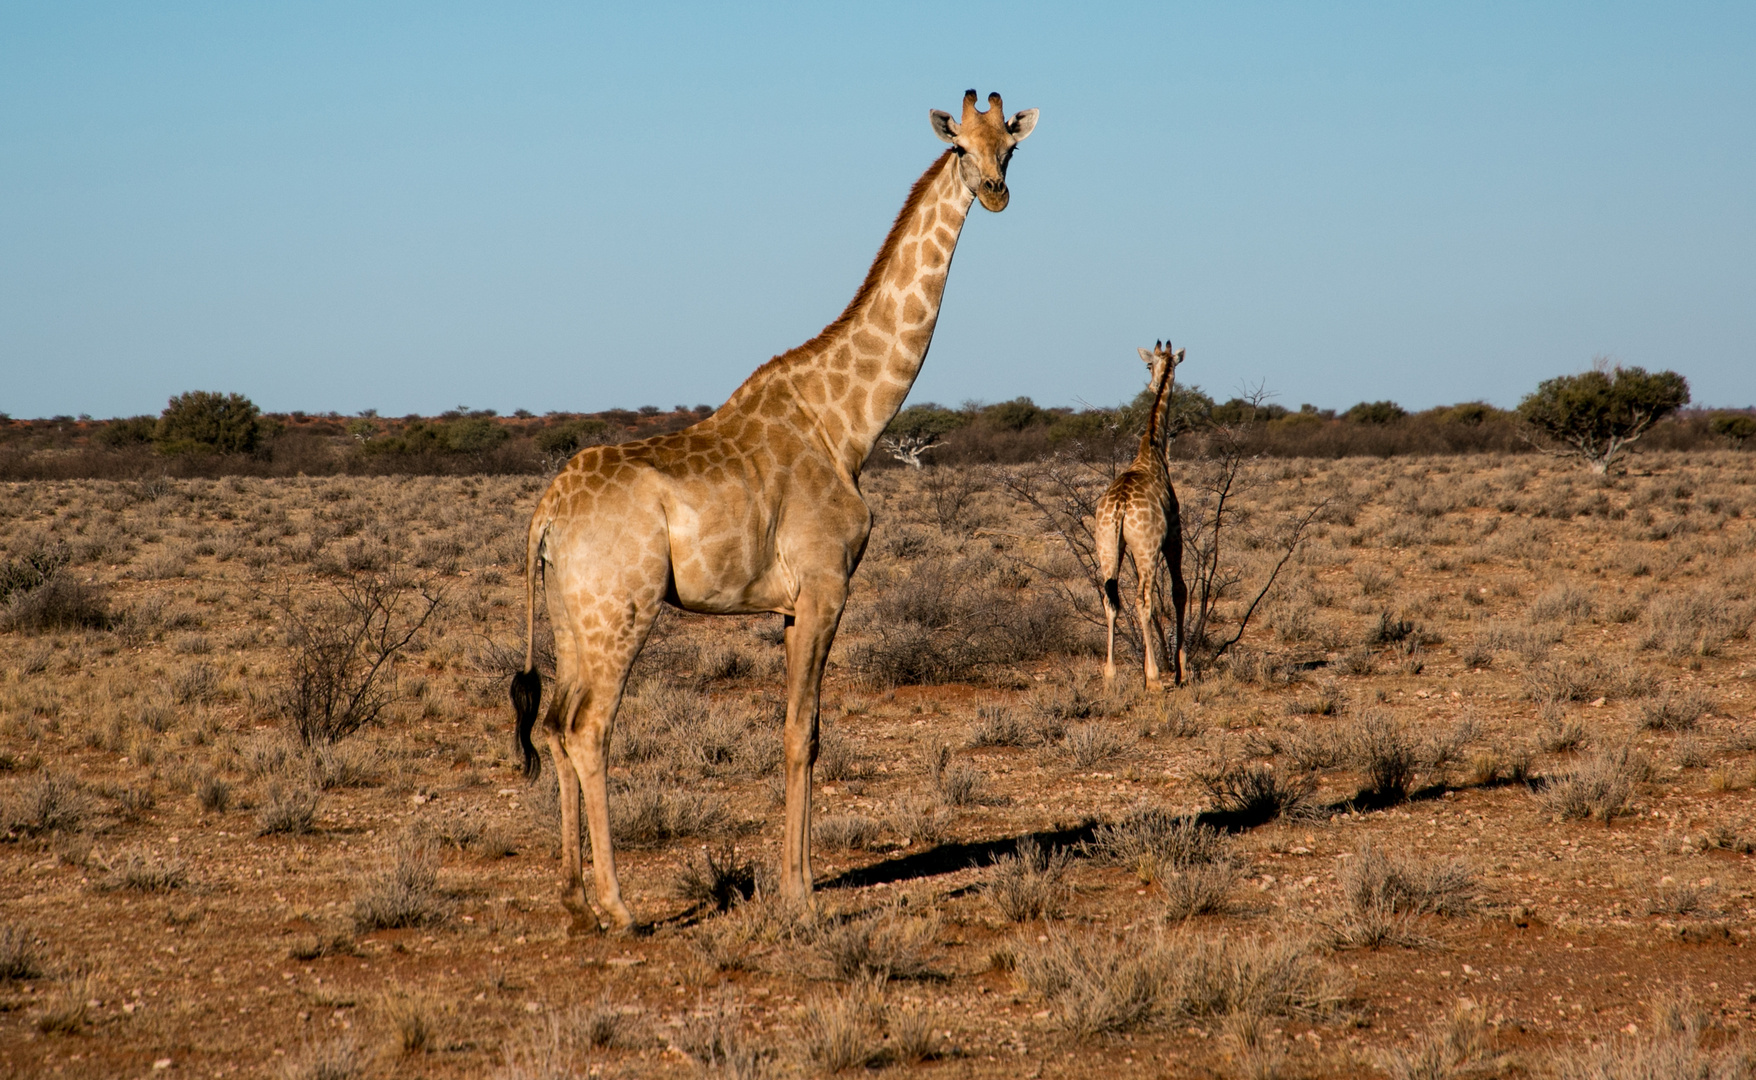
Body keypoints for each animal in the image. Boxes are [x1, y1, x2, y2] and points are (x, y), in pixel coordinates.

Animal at [509, 90, 1032, 927]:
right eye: (960, 147)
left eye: (1009, 147)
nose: (994, 191)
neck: (847, 423)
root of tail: (547, 515)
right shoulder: (825, 585)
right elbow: (803, 734)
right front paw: (803, 895)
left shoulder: (790, 604)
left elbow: (794, 730)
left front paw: (794, 883)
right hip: (622, 607)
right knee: (590, 729)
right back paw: (620, 907)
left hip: (569, 610)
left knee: (555, 724)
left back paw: (571, 898)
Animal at [1095, 340, 1194, 691]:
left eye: (1150, 365)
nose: (1152, 384)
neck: (1153, 450)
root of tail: (1121, 506)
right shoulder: (1174, 537)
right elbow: (1179, 591)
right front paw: (1181, 671)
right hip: (1147, 549)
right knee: (1143, 599)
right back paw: (1152, 678)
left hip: (1107, 547)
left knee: (1110, 599)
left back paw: (1110, 674)